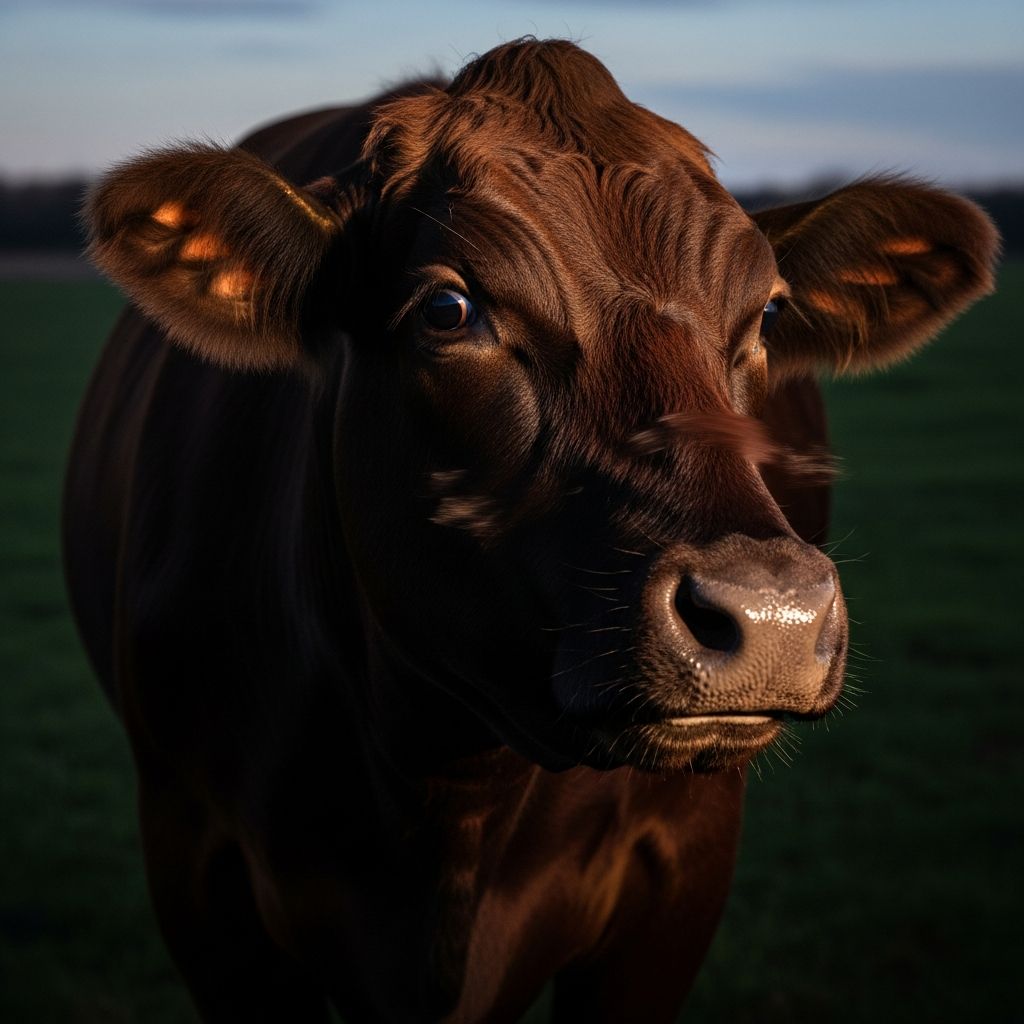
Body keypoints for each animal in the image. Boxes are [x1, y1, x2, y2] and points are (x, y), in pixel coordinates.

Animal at [64, 39, 998, 1023]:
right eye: (448, 309)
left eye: (771, 313)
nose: (771, 611)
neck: (445, 788)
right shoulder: (195, 858)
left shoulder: (685, 863)